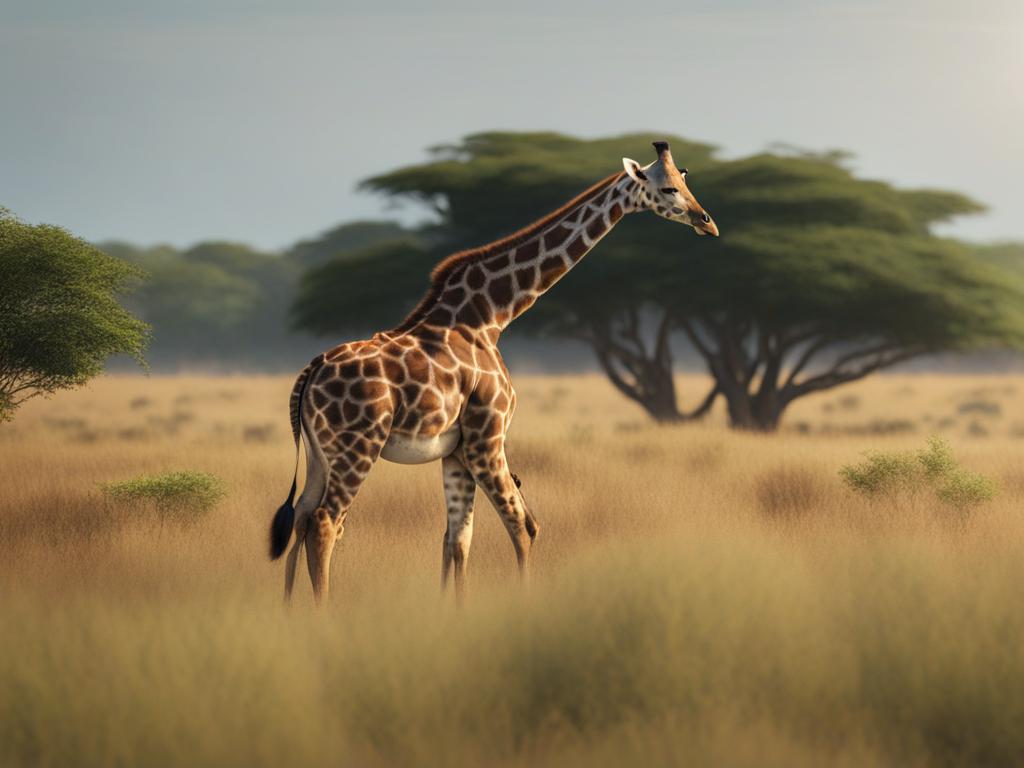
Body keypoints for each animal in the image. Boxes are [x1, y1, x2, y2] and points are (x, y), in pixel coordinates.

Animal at [272, 141, 720, 606]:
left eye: (685, 180)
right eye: (668, 188)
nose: (708, 222)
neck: (490, 316)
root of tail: (309, 374)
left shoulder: (456, 449)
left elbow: (458, 538)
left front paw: (455, 610)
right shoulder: (488, 434)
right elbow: (522, 526)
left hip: (321, 454)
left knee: (302, 517)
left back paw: (289, 610)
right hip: (359, 445)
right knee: (327, 522)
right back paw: (323, 612)